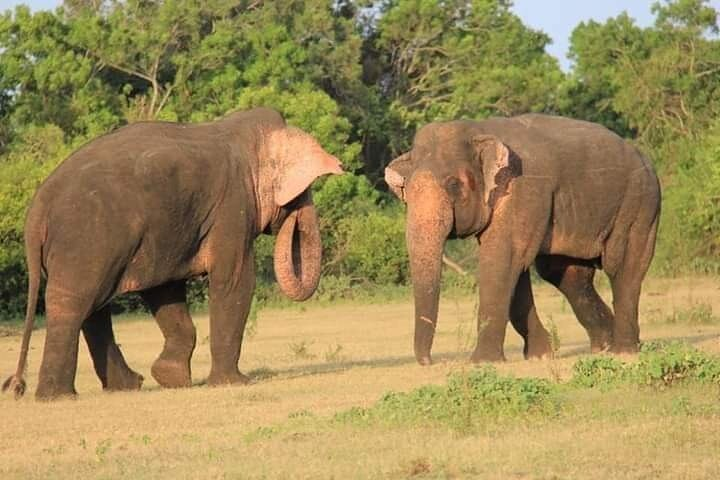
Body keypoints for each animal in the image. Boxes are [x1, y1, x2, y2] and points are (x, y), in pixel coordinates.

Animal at [3, 107, 344, 400]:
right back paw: (59, 397)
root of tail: (37, 209)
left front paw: (171, 378)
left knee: (91, 307)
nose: (294, 212)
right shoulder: (232, 207)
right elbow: (234, 282)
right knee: (74, 304)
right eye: (306, 190)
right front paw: (234, 383)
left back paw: (128, 385)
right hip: (87, 238)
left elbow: (164, 290)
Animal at [386, 114, 660, 366]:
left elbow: (502, 260)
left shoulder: (522, 189)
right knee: (566, 275)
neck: (479, 129)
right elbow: (515, 269)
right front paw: (541, 355)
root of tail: (645, 157)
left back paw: (623, 351)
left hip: (640, 204)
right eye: (406, 190)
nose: (430, 362)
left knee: (623, 267)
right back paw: (605, 346)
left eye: (453, 184)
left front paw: (482, 362)